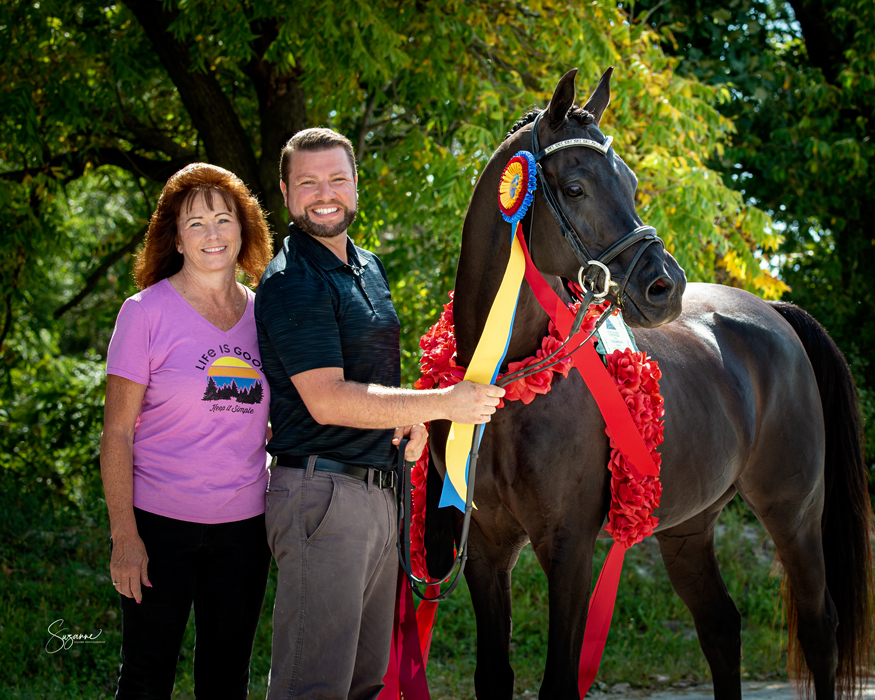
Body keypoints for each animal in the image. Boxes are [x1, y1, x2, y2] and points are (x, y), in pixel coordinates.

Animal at [422, 67, 868, 700]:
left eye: (631, 183)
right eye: (576, 187)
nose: (666, 285)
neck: (507, 388)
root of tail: (775, 315)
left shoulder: (569, 546)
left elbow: (559, 680)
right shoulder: (486, 547)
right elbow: (493, 676)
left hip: (795, 512)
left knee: (818, 628)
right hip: (686, 528)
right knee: (720, 626)